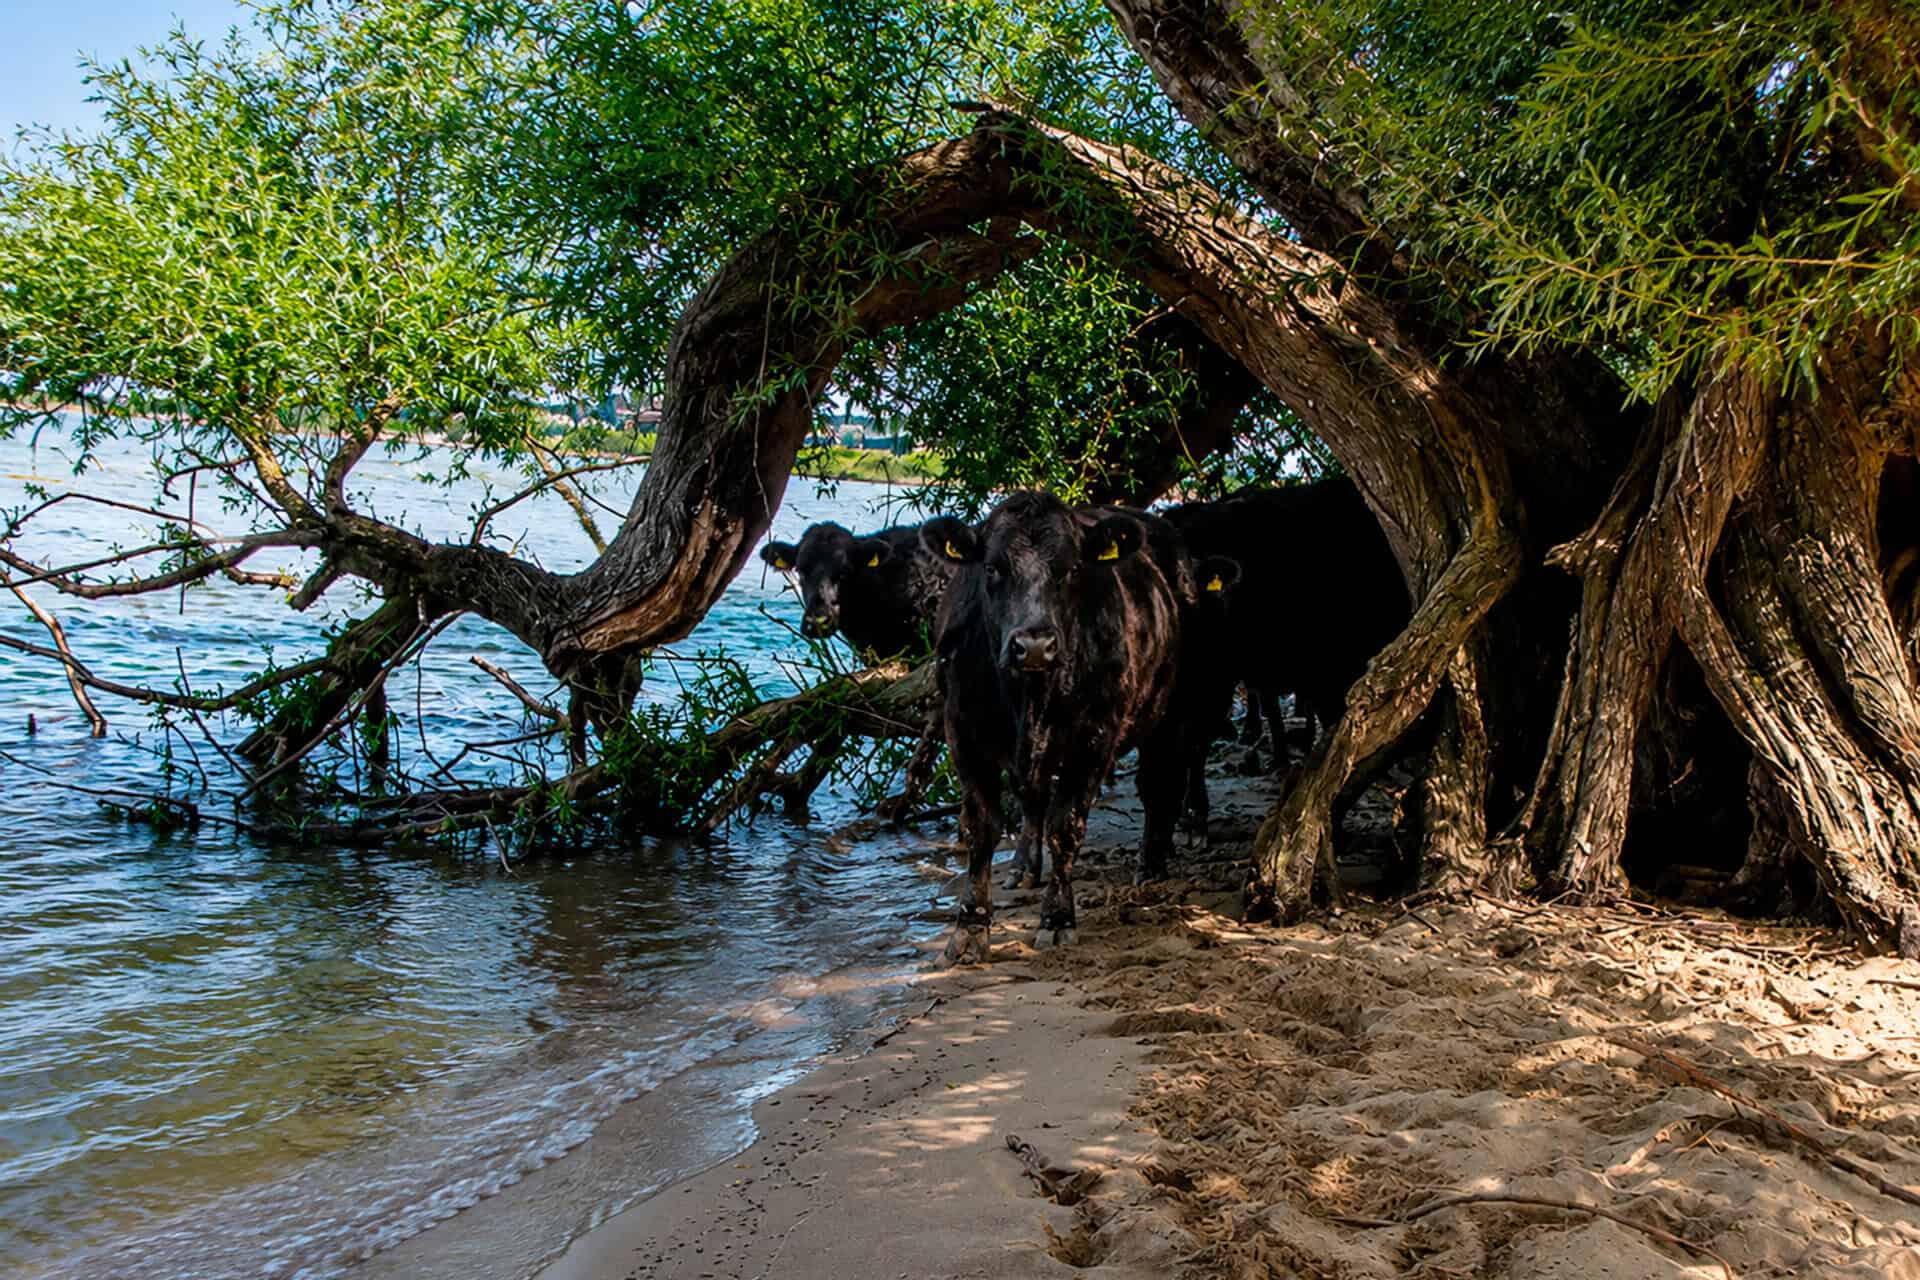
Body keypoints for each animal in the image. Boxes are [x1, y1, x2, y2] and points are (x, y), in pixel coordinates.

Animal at [921, 492, 1236, 964]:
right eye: (992, 568)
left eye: (1071, 569)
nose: (1034, 645)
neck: (1028, 697)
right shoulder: (963, 732)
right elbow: (982, 828)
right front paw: (970, 927)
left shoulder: (1094, 738)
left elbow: (1065, 826)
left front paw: (1056, 919)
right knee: (1033, 796)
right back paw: (1023, 867)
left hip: (1173, 710)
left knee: (1159, 785)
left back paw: (1151, 864)